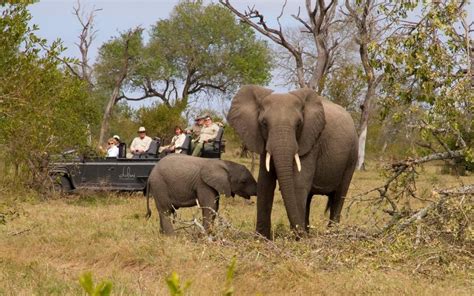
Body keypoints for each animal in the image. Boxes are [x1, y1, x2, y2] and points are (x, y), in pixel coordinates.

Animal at [228, 85, 358, 238]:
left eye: (298, 124)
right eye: (264, 123)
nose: (299, 234)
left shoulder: (311, 141)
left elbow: (298, 184)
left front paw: (298, 238)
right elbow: (265, 183)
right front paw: (262, 238)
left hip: (352, 156)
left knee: (339, 195)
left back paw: (330, 233)